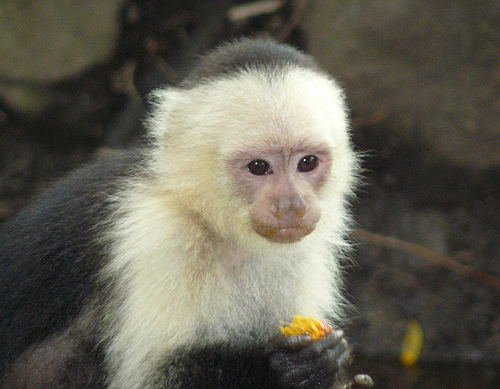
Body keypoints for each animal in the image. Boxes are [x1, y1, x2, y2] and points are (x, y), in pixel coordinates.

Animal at [0, 39, 360, 388]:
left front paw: (326, 362)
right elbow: (153, 376)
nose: (292, 205)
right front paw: (286, 368)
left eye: (307, 162)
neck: (218, 226)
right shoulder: (161, 237)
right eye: (258, 167)